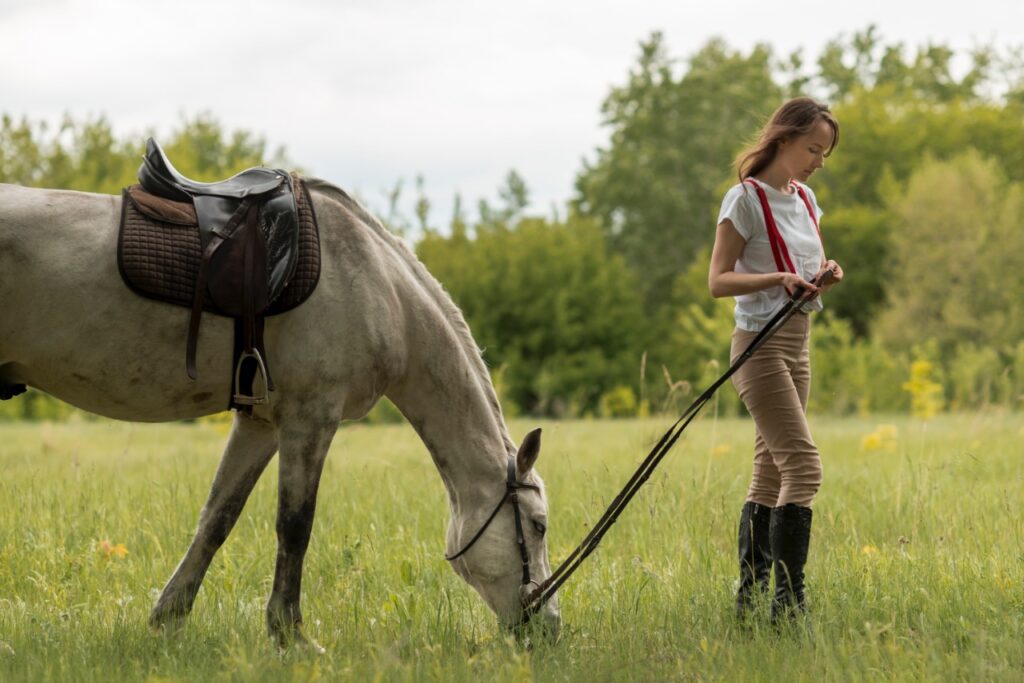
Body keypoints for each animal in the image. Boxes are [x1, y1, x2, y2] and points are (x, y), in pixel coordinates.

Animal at [0, 178, 560, 649]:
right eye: (538, 526)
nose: (549, 626)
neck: (378, 286)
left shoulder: (260, 425)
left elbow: (217, 518)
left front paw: (169, 619)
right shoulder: (310, 419)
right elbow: (294, 526)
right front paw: (290, 635)